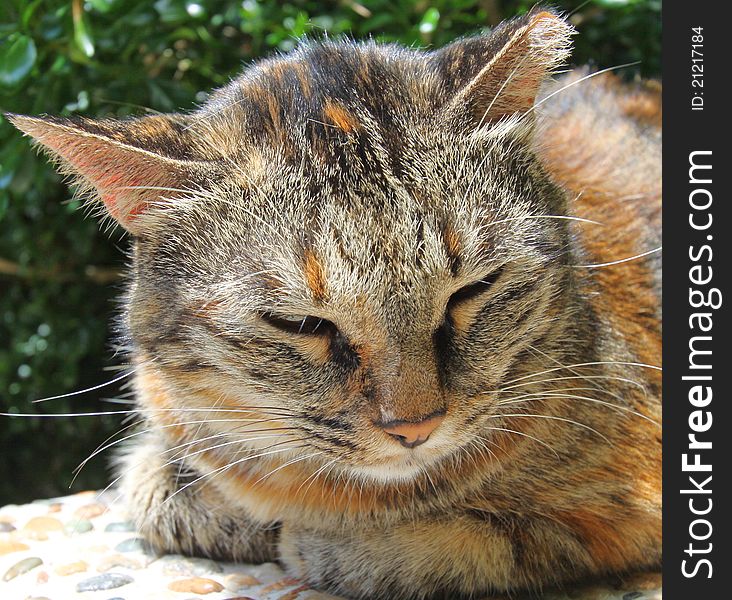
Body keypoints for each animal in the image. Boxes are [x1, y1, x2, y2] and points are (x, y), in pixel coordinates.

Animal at [7, 8, 664, 600]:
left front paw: (329, 542)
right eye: (301, 323)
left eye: (472, 290)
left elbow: (491, 543)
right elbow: (150, 486)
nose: (415, 427)